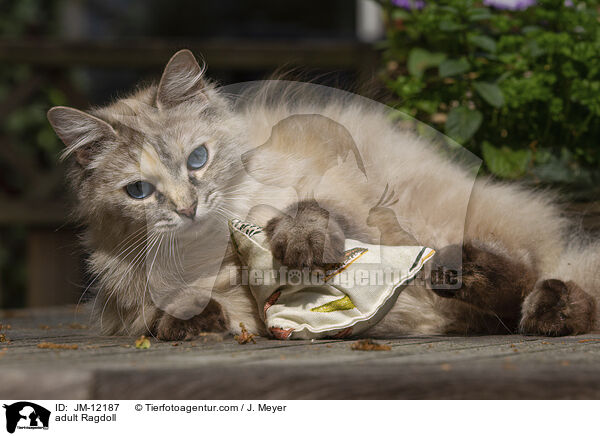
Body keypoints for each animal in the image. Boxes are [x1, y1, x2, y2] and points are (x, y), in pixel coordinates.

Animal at [48, 49, 600, 338]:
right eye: (140, 191)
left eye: (197, 159)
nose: (187, 208)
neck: (214, 254)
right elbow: (178, 314)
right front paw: (194, 320)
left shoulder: (337, 199)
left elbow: (306, 215)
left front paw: (302, 247)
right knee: (504, 308)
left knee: (537, 276)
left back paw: (527, 300)